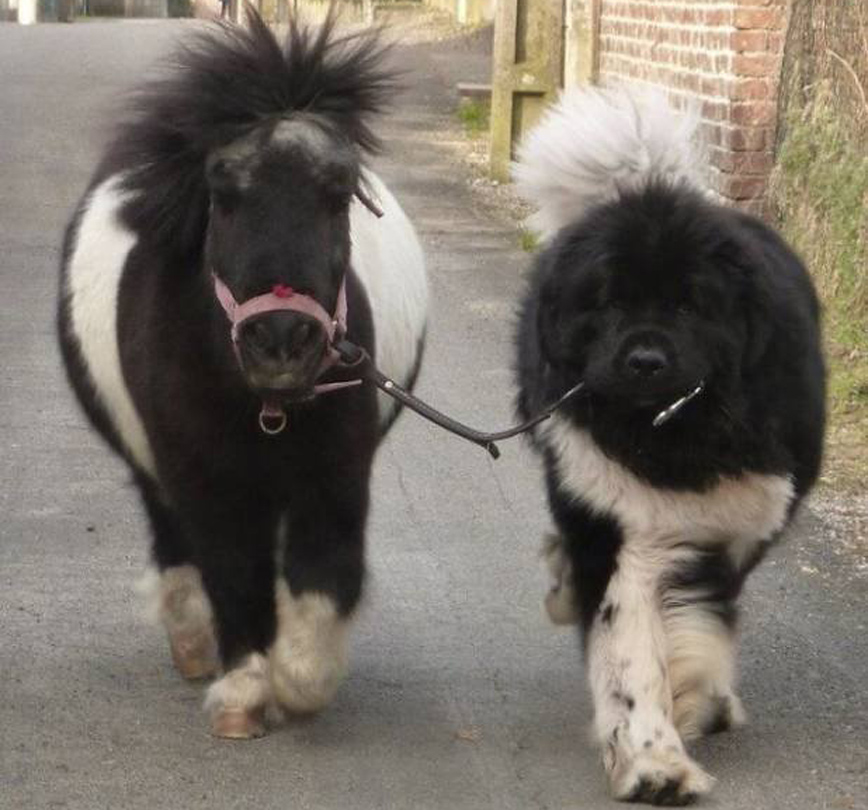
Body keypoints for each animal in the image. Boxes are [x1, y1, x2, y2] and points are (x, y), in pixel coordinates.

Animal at [57, 9, 428, 739]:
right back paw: (194, 645)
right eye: (223, 197)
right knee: (177, 544)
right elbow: (232, 571)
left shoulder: (335, 476)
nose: (280, 342)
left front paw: (298, 682)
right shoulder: (204, 476)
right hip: (156, 467)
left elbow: (323, 576)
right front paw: (244, 694)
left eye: (338, 196)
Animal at [514, 87, 826, 805]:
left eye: (689, 306)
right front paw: (654, 762)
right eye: (606, 302)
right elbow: (630, 650)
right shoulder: (622, 523)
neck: (677, 437)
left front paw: (693, 700)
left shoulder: (737, 520)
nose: (645, 360)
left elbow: (698, 625)